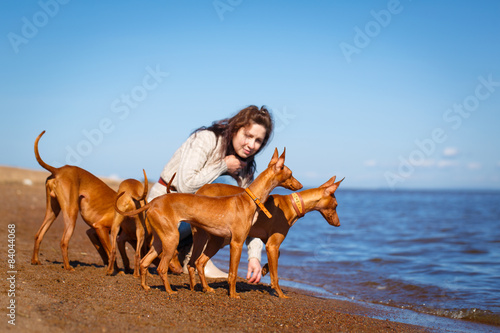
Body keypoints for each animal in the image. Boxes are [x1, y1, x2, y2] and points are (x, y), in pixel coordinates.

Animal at [194, 175, 344, 296]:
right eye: (336, 205)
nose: (339, 224)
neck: (292, 205)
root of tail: (200, 190)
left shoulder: (268, 241)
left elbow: (278, 255)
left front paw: (265, 268)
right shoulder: (272, 245)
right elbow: (275, 276)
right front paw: (280, 294)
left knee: (198, 262)